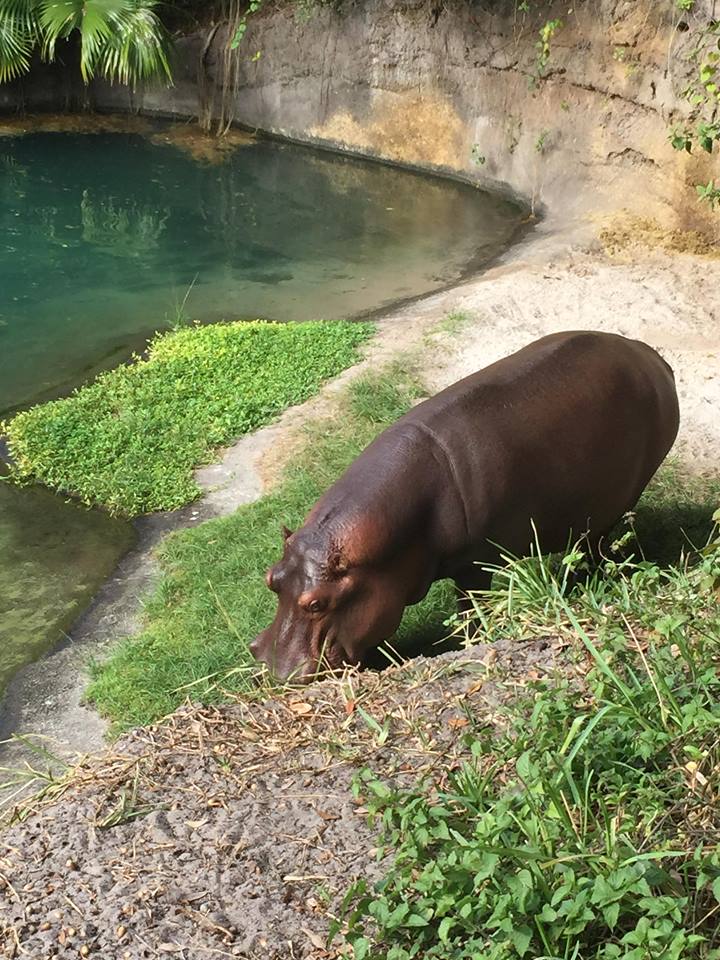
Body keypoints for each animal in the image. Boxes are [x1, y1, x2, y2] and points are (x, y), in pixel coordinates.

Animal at [251, 331, 679, 681]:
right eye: (271, 579)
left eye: (317, 603)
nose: (276, 669)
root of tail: (648, 354)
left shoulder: (474, 564)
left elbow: (471, 610)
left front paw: (470, 642)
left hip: (627, 491)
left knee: (598, 540)